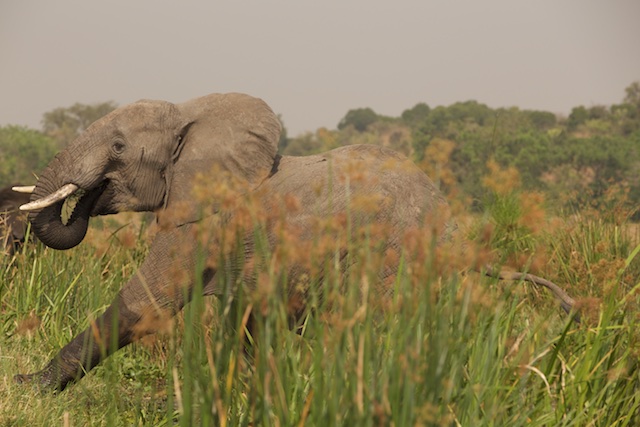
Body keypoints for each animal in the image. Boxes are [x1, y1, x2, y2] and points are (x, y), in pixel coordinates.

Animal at [13, 93, 456, 392]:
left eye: (118, 147)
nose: (92, 192)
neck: (189, 117)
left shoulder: (200, 222)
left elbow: (145, 303)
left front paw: (29, 385)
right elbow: (244, 326)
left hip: (391, 257)